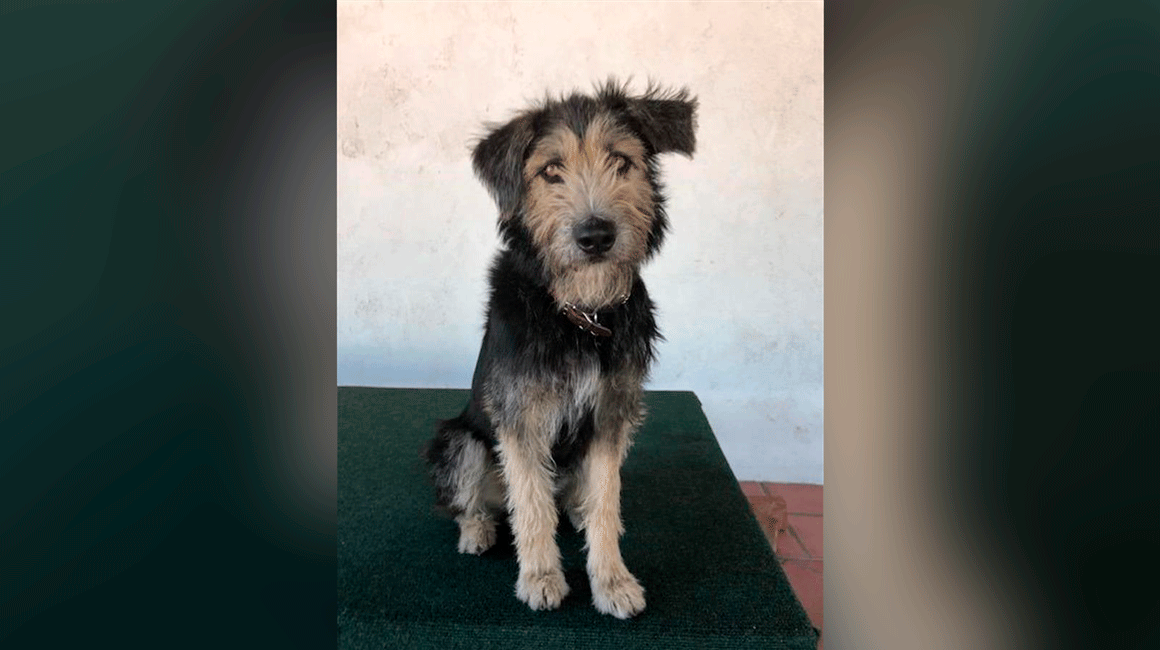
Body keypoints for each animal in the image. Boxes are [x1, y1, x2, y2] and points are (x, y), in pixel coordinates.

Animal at [426, 78, 696, 617]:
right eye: (551, 170)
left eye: (621, 161)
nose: (596, 236)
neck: (580, 315)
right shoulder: (520, 418)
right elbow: (531, 506)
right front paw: (541, 577)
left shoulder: (613, 413)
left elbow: (607, 499)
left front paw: (611, 580)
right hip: (459, 442)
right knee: (473, 501)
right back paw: (477, 529)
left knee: (579, 496)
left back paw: (577, 509)